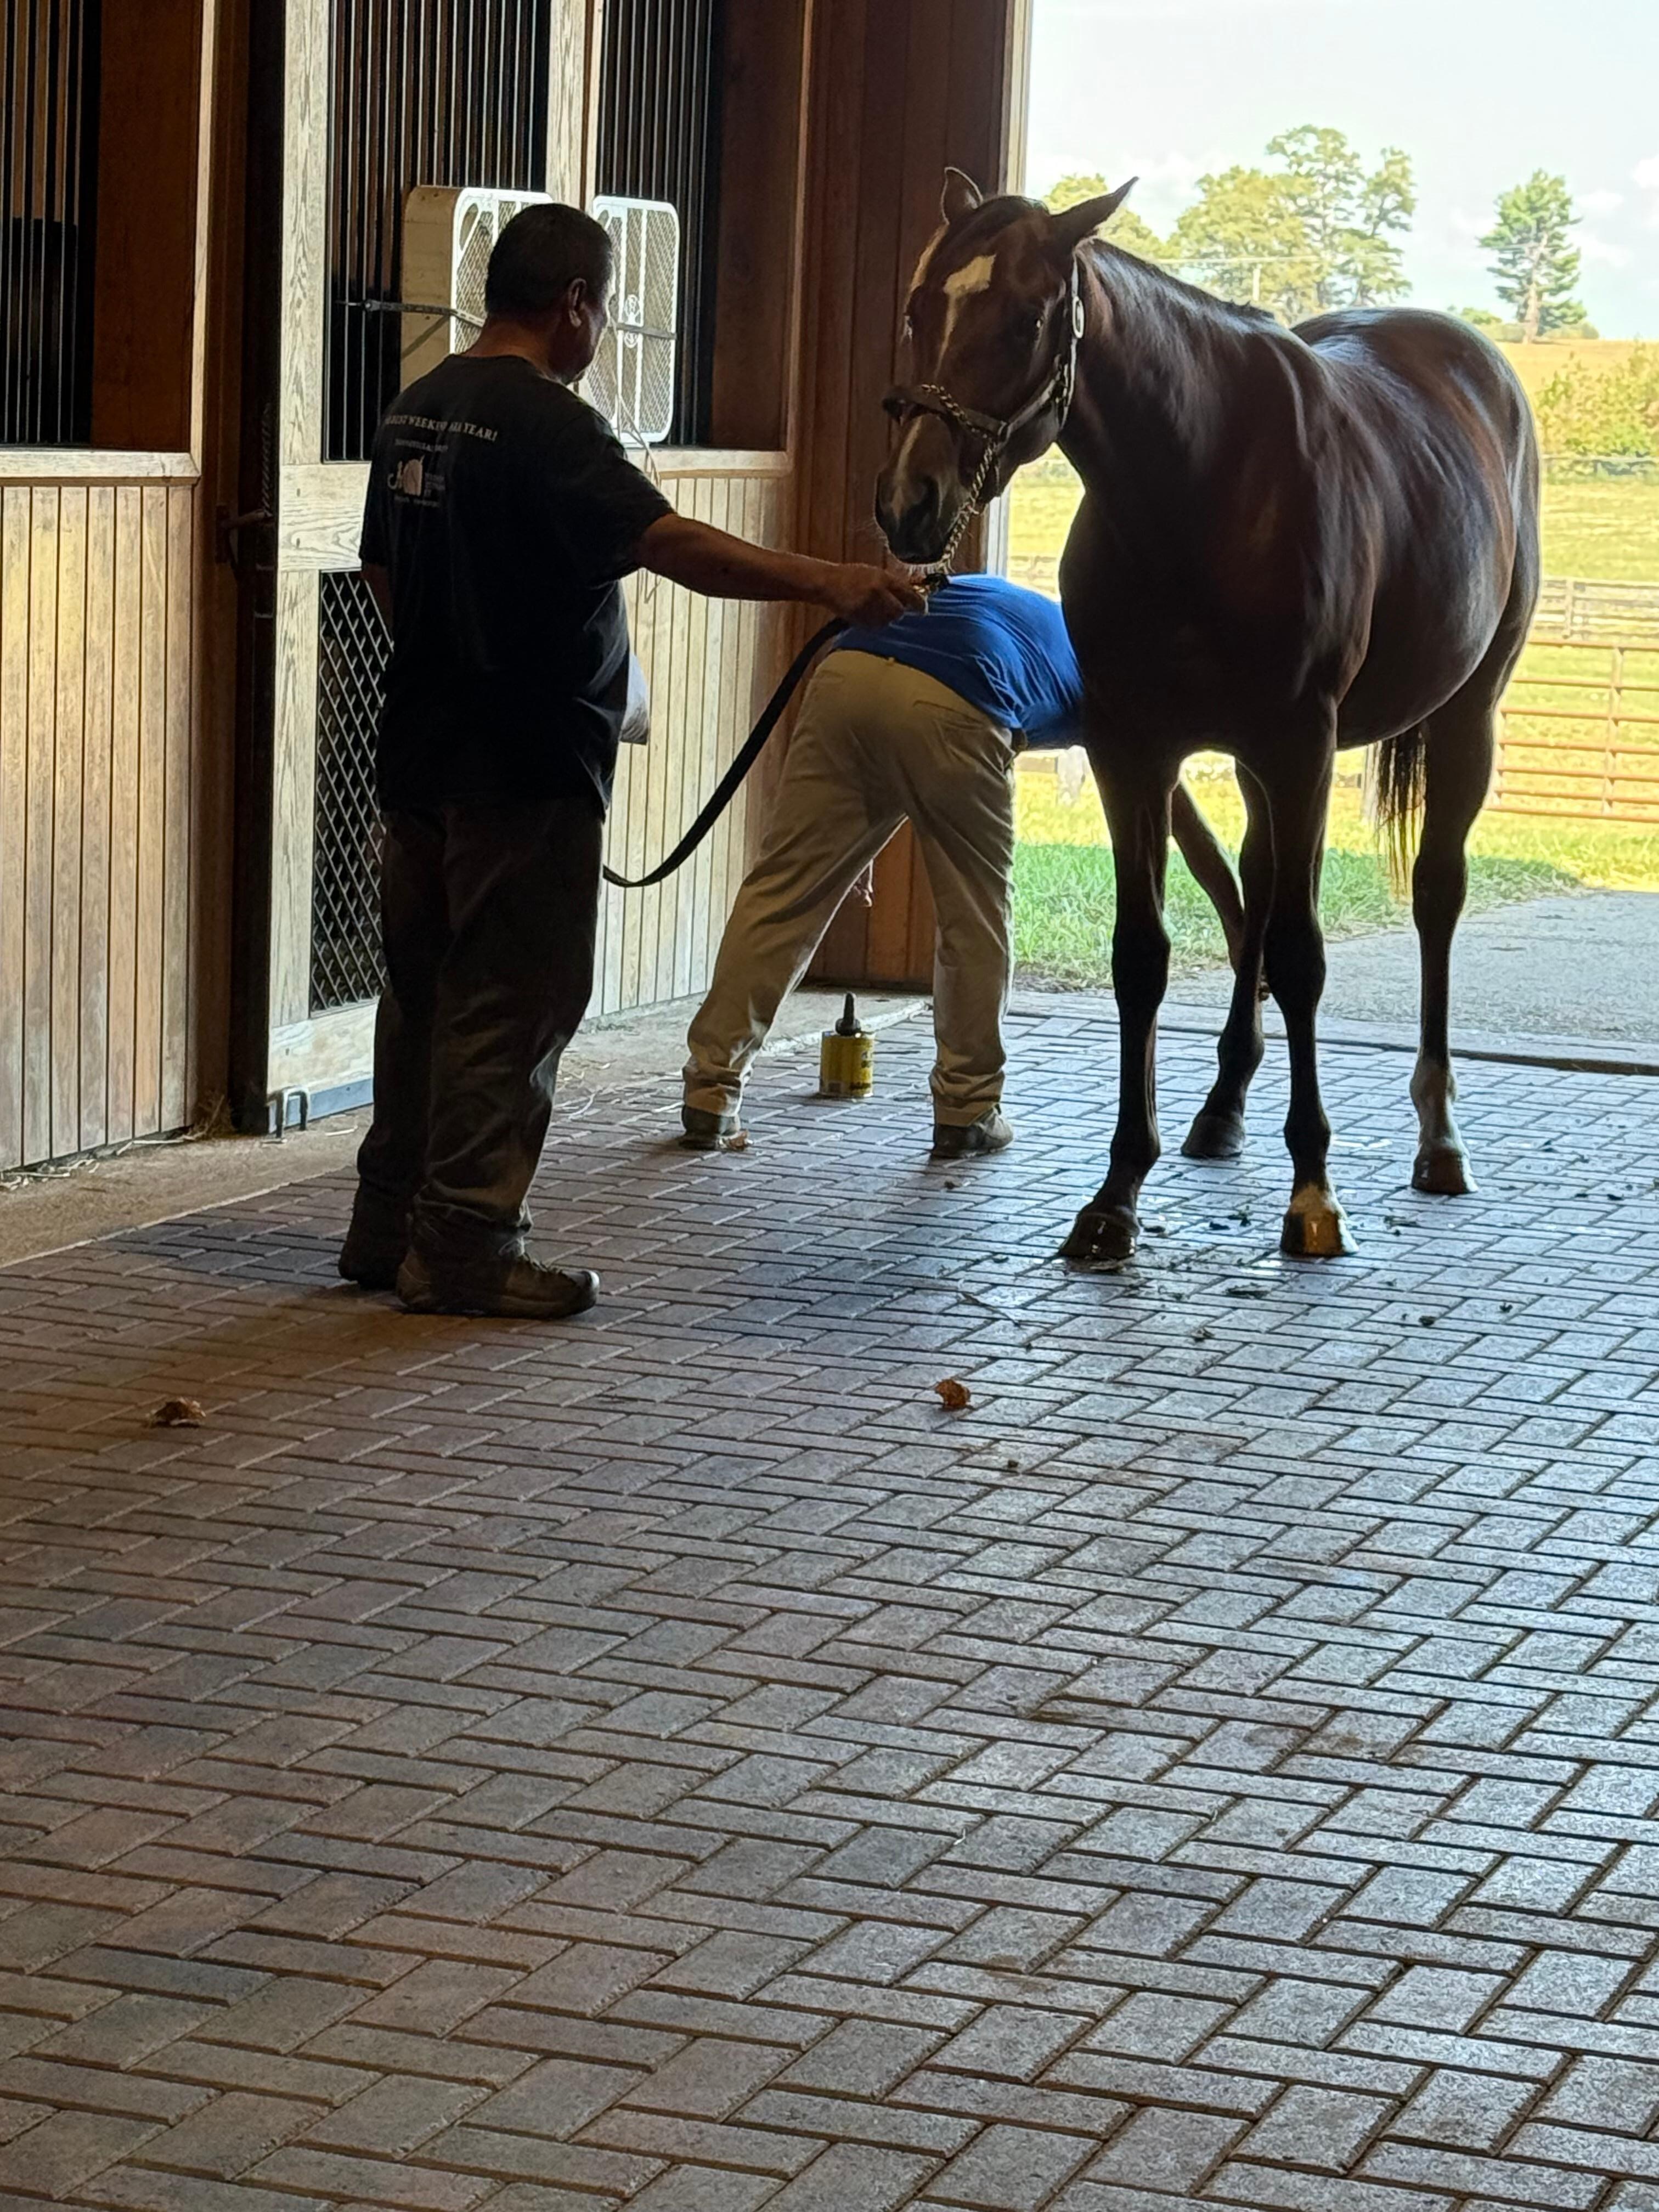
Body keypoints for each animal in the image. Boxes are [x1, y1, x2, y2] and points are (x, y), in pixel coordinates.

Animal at [877, 169, 1540, 1266]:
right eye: (917, 308)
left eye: (1025, 319)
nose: (908, 504)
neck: (1203, 485)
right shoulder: (1133, 754)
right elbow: (1143, 956)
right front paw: (1115, 1192)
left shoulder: (1301, 747)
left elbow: (1302, 955)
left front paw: (1312, 1194)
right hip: (1261, 771)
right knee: (1260, 887)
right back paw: (1223, 1105)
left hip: (1461, 722)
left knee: (1432, 898)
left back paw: (1437, 1137)